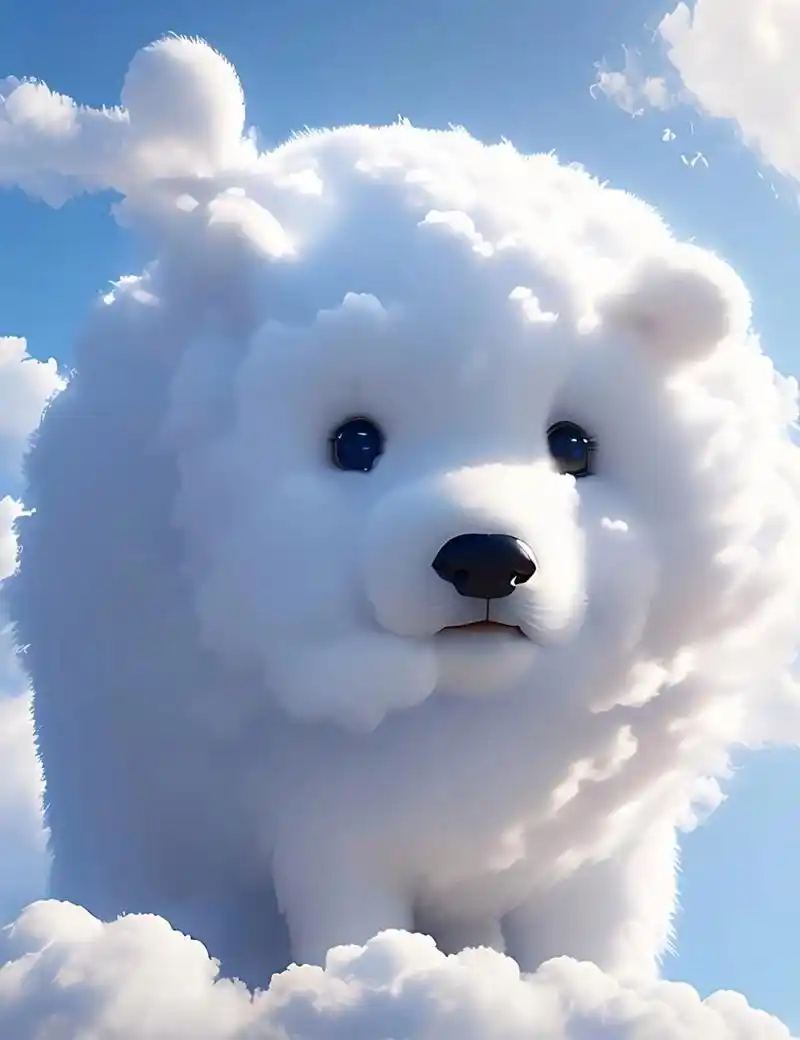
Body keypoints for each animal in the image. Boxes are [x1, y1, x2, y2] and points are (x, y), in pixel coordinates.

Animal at [7, 110, 800, 986]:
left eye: (574, 444)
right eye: (354, 441)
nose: (487, 557)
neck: (464, 721)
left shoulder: (600, 844)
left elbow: (588, 937)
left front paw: (585, 992)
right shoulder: (324, 819)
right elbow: (346, 914)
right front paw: (363, 977)